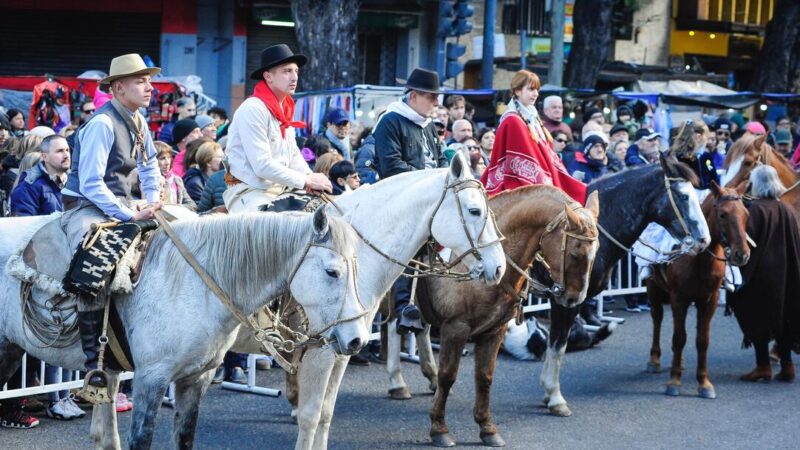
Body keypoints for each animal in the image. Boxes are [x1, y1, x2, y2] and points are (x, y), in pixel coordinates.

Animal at [0, 208, 368, 450]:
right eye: (332, 272)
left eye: (357, 268)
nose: (357, 339)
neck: (195, 286)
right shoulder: (151, 379)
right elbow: (141, 440)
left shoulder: (196, 378)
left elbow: (185, 439)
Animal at [231, 155, 506, 450]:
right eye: (475, 211)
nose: (499, 267)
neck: (354, 258)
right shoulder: (320, 352)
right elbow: (311, 416)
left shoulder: (342, 348)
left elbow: (325, 413)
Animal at [412, 185, 600, 446]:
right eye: (575, 254)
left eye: (597, 250)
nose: (574, 300)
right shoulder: (455, 328)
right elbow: (448, 375)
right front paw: (439, 429)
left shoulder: (494, 330)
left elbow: (484, 377)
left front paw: (487, 428)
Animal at [644, 181, 752, 400]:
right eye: (723, 214)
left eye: (745, 214)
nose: (742, 254)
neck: (698, 259)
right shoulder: (679, 298)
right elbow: (679, 337)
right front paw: (674, 381)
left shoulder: (709, 299)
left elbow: (702, 340)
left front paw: (704, 383)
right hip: (654, 288)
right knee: (657, 318)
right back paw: (654, 359)